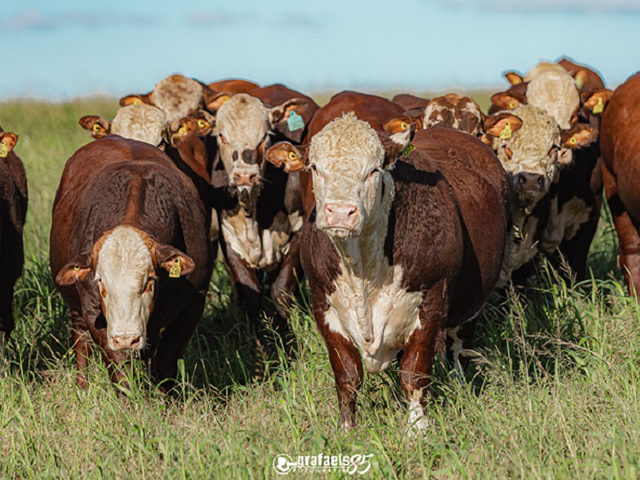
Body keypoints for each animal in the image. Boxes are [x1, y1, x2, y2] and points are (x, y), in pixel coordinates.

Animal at [50, 136, 214, 390]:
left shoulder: (193, 303)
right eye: (100, 281)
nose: (127, 338)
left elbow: (166, 362)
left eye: (149, 280)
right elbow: (119, 367)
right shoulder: (94, 311)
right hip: (75, 309)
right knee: (81, 341)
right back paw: (82, 387)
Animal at [264, 113, 504, 432]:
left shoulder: (431, 303)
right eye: (315, 167)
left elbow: (414, 372)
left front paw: (417, 428)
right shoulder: (323, 306)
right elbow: (347, 374)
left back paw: (460, 388)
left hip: (470, 310)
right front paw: (346, 428)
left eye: (374, 169)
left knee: (459, 351)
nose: (340, 212)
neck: (362, 267)